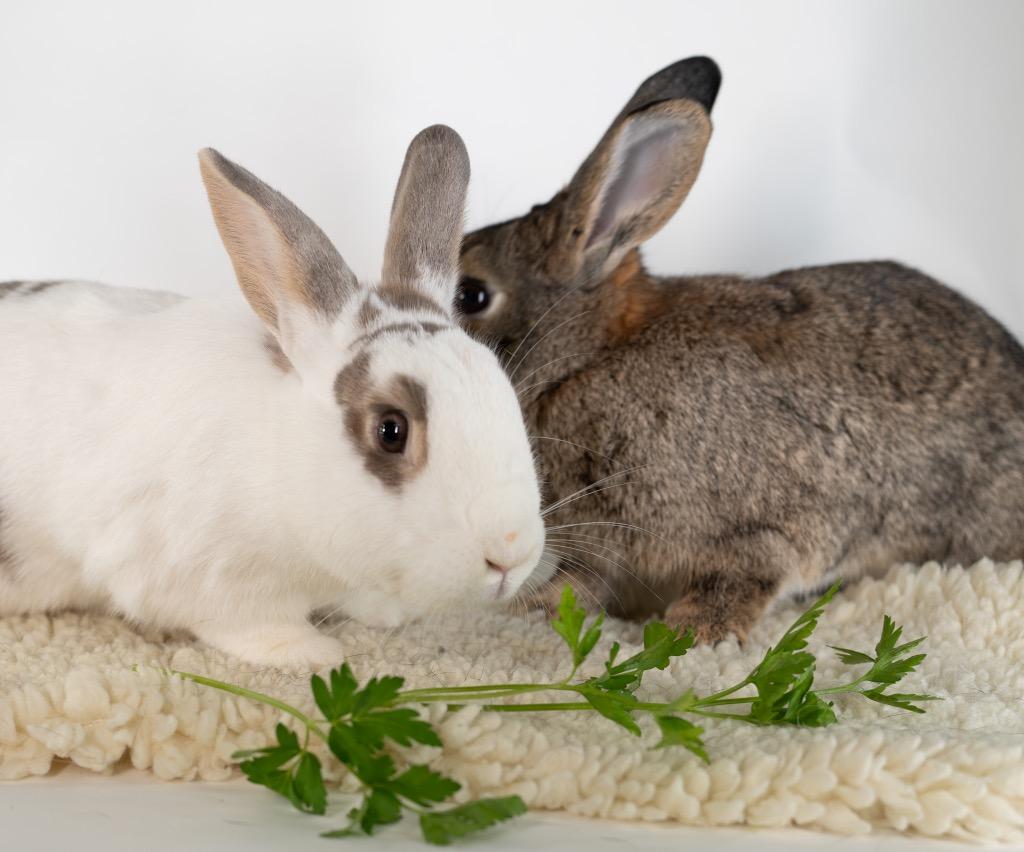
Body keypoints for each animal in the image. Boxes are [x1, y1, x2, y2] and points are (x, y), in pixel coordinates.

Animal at [0, 125, 546, 668]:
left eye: (505, 393)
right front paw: (313, 652)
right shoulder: (203, 576)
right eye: (391, 430)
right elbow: (249, 624)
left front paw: (384, 612)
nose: (511, 553)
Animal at [455, 56, 1024, 643]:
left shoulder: (754, 531)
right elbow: (580, 585)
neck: (583, 361)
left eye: (471, 294)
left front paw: (693, 631)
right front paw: (530, 610)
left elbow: (741, 576)